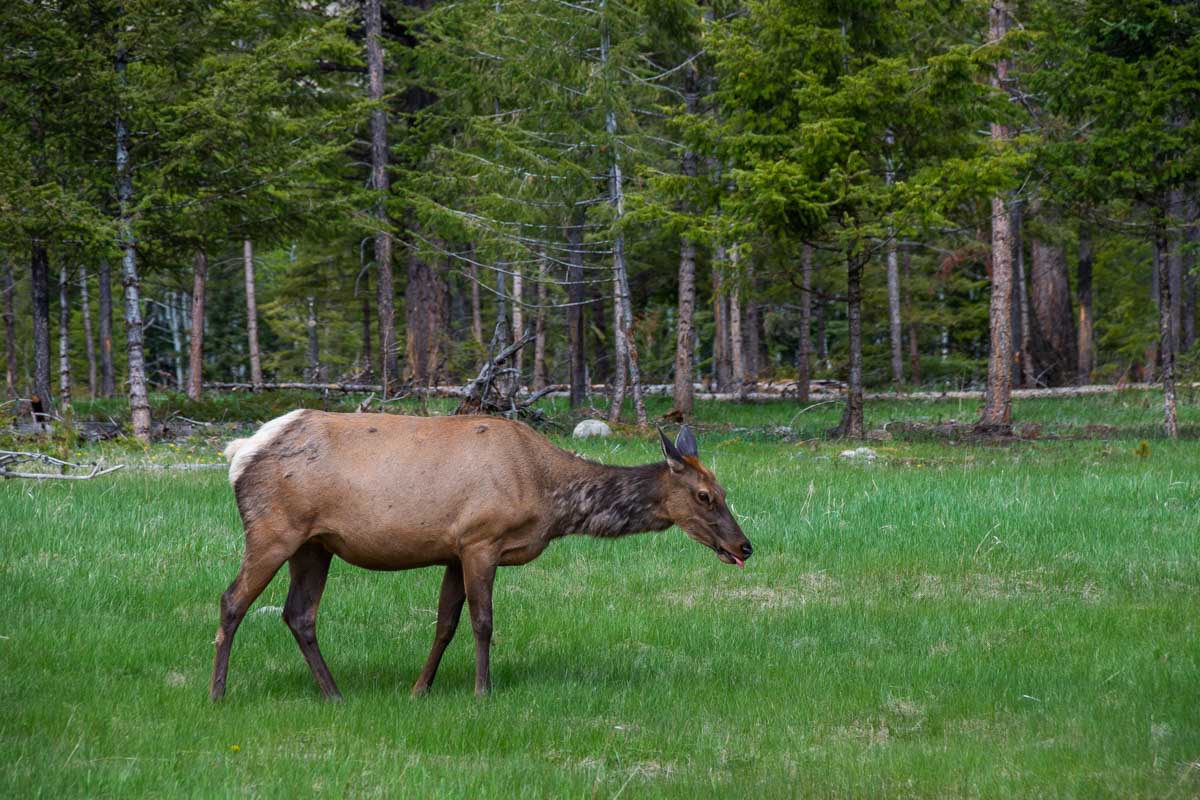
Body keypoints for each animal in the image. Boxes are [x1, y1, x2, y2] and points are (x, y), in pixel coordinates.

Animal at [210, 410, 753, 701]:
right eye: (705, 496)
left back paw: (335, 692)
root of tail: (239, 453)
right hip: (273, 529)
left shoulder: (453, 551)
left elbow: (444, 623)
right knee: (232, 600)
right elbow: (482, 622)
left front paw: (420, 689)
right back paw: (218, 692)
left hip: (314, 544)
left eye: (725, 490)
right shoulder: (480, 540)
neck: (549, 497)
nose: (744, 546)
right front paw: (482, 690)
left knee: (298, 613)